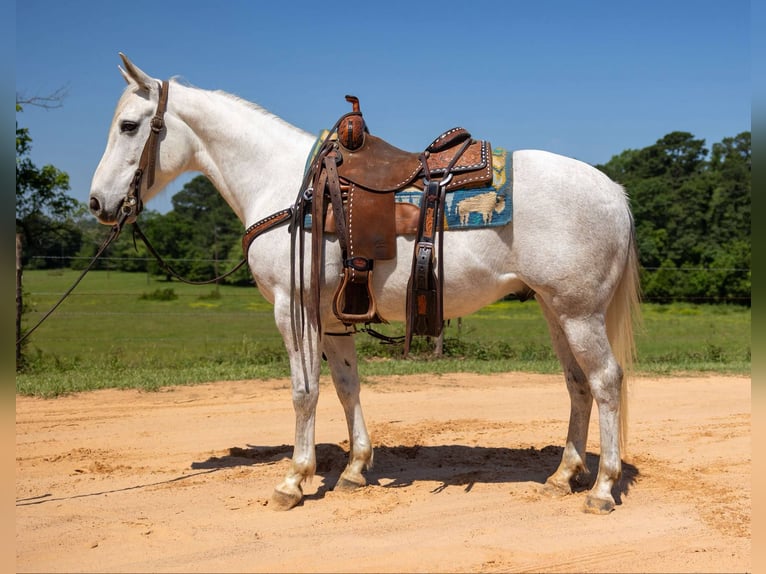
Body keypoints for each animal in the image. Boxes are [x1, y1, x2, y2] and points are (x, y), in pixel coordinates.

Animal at [89, 54, 641, 514]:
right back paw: (563, 475)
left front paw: (293, 480)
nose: (98, 203)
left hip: (579, 313)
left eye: (129, 126)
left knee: (606, 381)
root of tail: (613, 190)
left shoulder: (293, 309)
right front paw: (355, 468)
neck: (285, 185)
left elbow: (304, 392)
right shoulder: (333, 317)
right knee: (577, 384)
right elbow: (345, 386)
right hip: (555, 310)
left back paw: (601, 488)